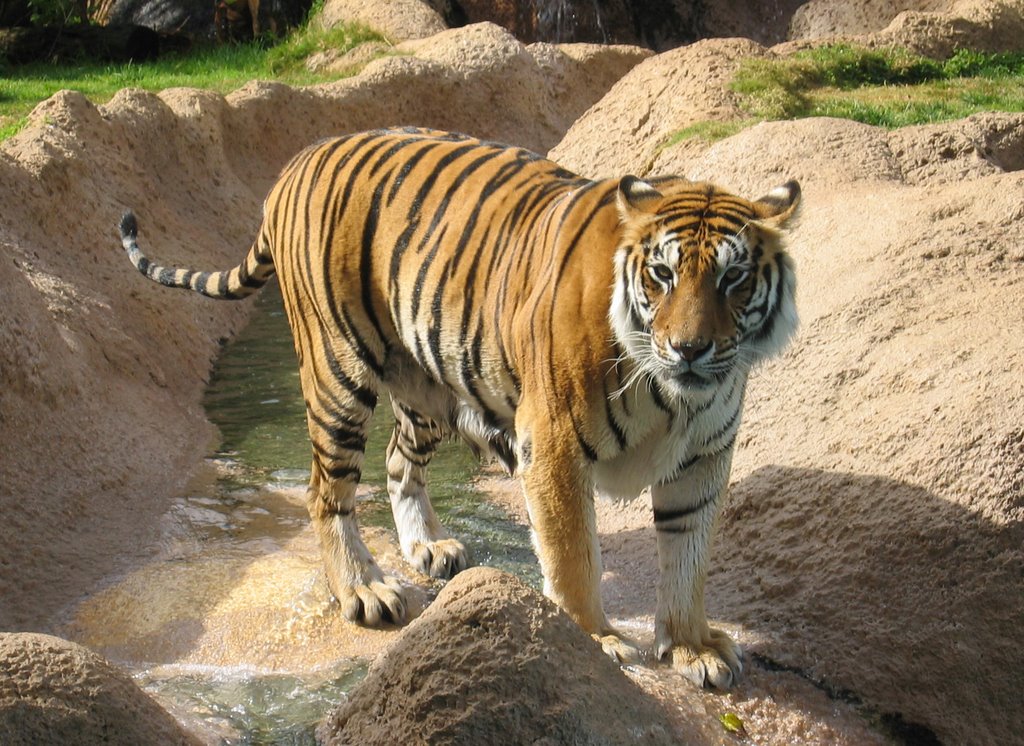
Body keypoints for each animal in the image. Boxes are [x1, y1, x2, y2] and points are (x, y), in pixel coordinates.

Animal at [117, 126, 798, 687]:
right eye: (662, 274)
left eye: (733, 279)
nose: (689, 348)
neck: (674, 398)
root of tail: (299, 158)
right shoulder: (552, 444)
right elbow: (573, 554)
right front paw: (594, 637)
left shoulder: (703, 460)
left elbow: (688, 556)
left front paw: (691, 646)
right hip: (338, 370)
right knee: (326, 491)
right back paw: (365, 590)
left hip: (430, 380)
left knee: (397, 461)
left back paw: (428, 548)